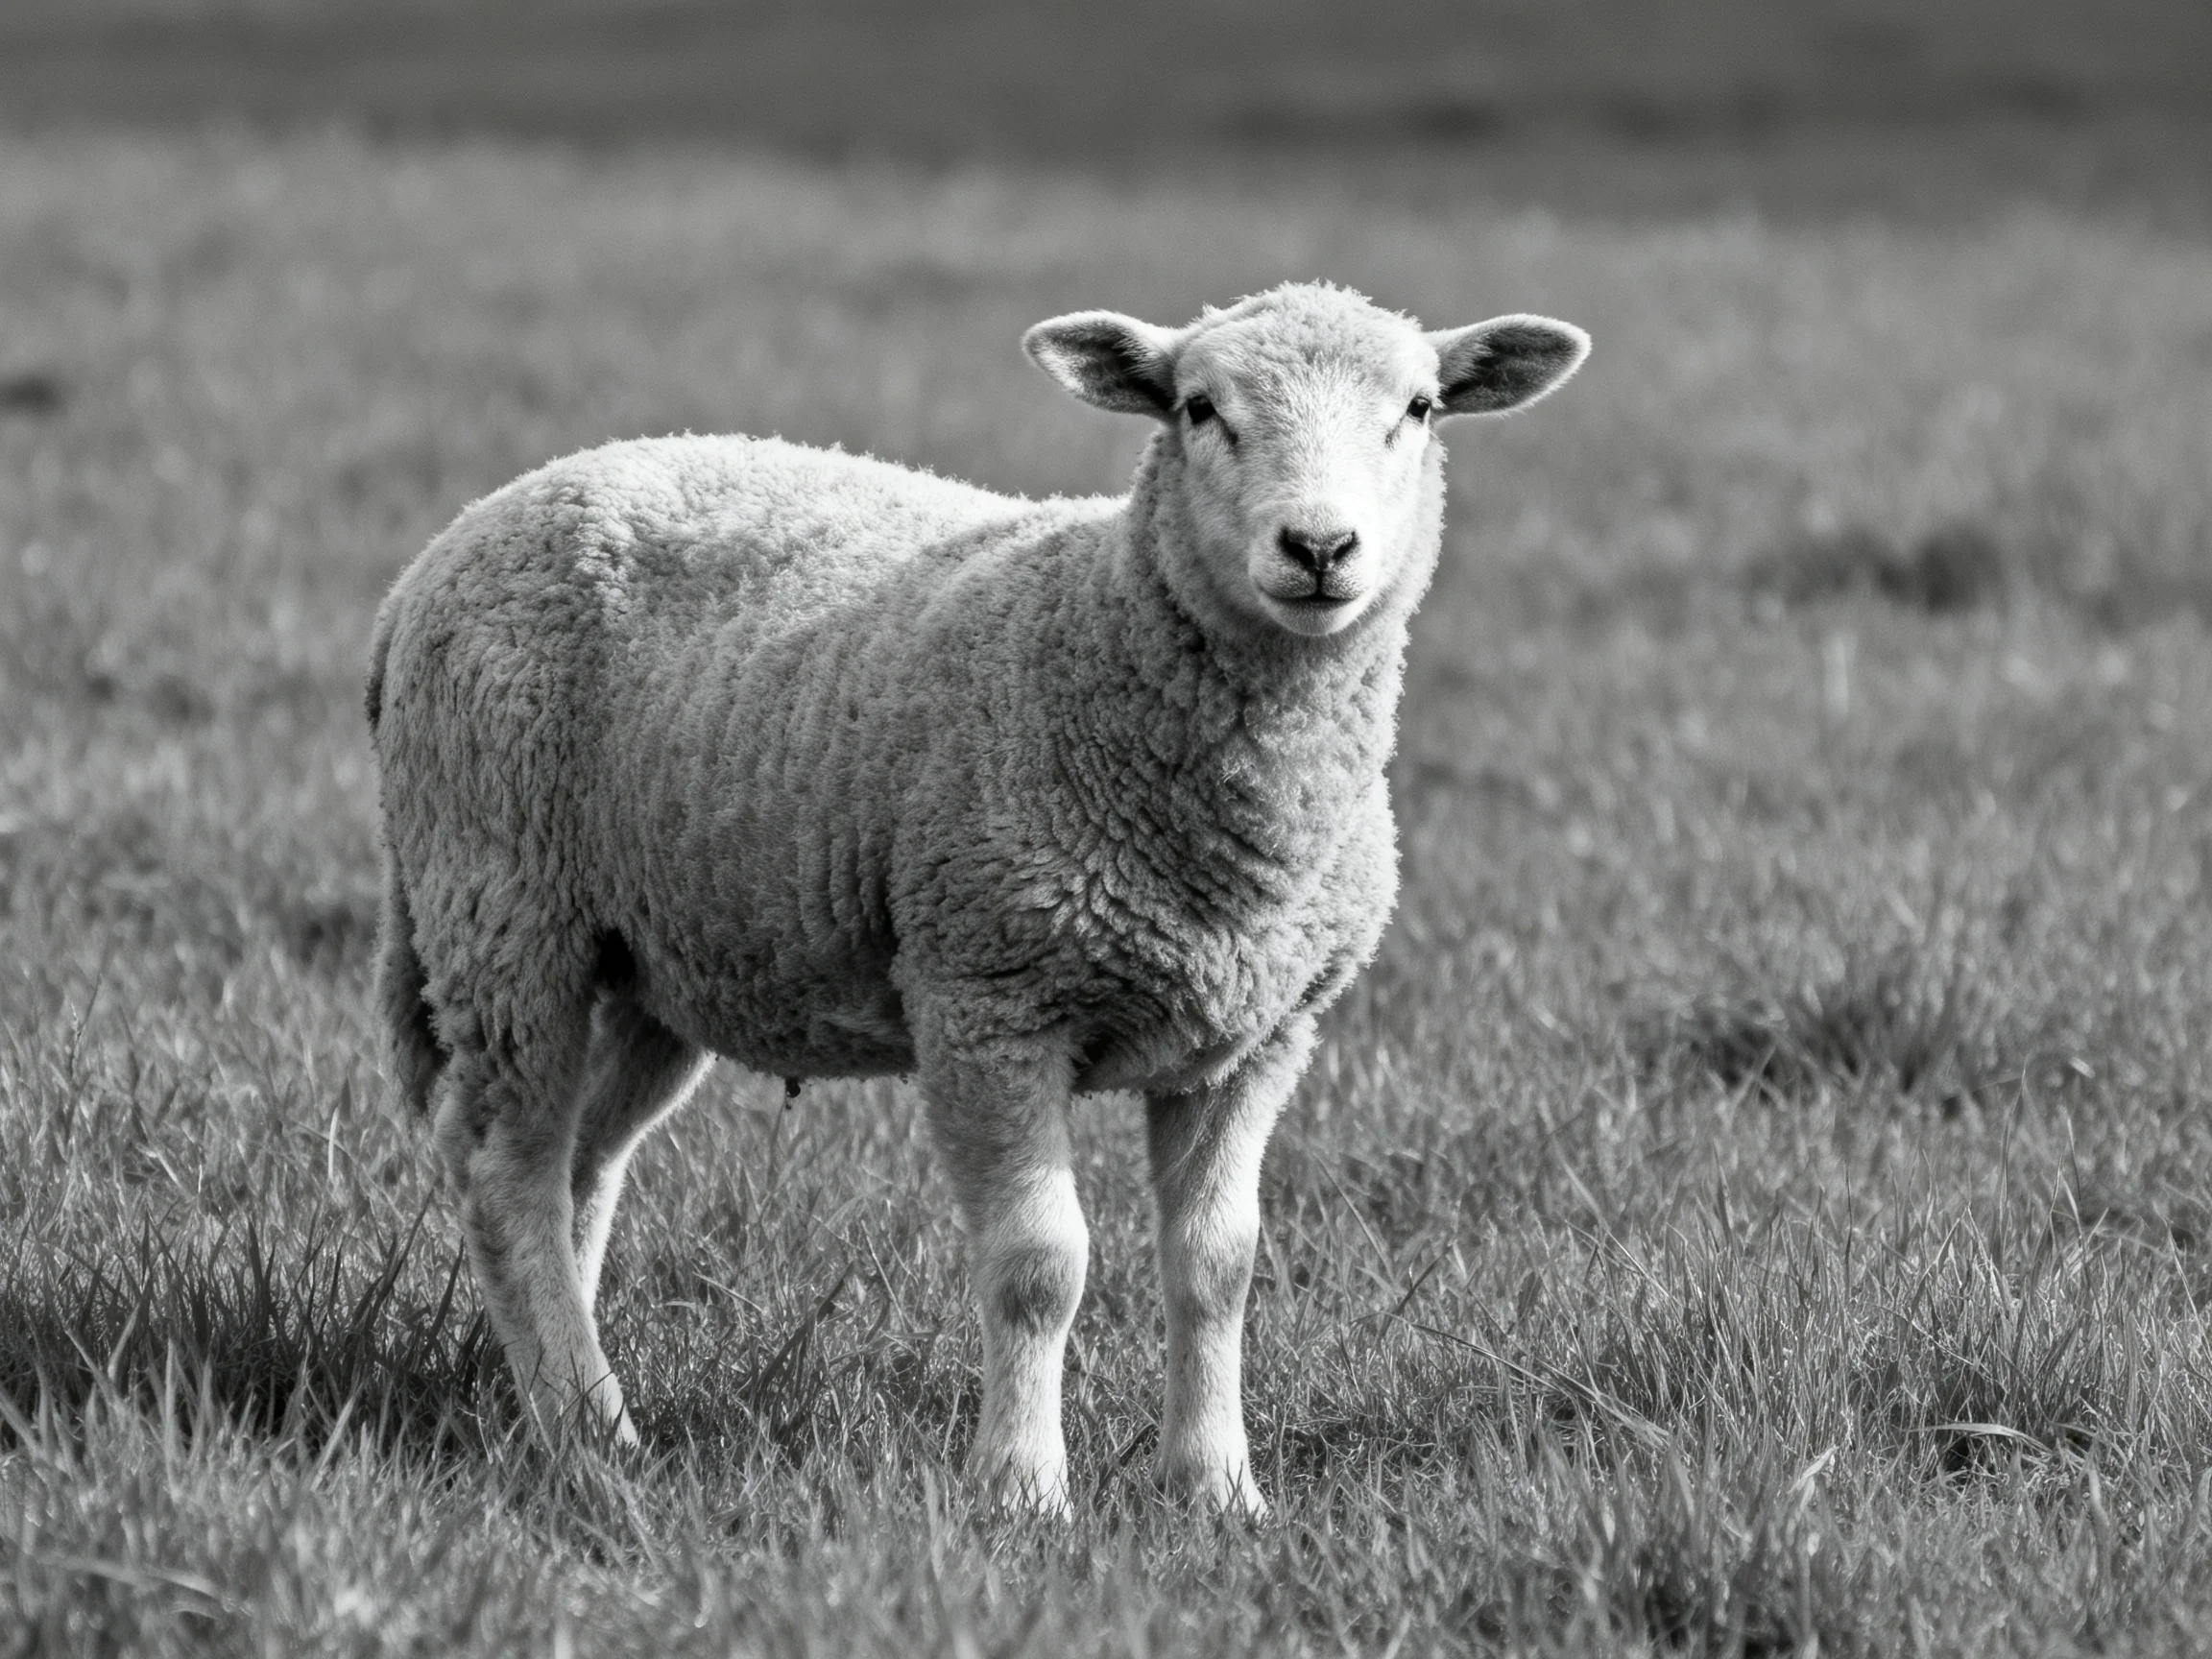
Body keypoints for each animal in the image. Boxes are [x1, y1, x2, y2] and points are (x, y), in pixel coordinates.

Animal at [366, 281, 1589, 1515]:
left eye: (1421, 409)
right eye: (1199, 408)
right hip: (501, 903)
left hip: (654, 954)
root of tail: (443, 550)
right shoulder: (987, 998)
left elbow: (1218, 1266)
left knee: (583, 1160)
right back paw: (591, 1434)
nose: (1321, 547)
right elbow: (1039, 1265)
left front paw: (1215, 1488)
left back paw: (539, 1392)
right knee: (503, 1165)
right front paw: (1022, 1491)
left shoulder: (1258, 1036)